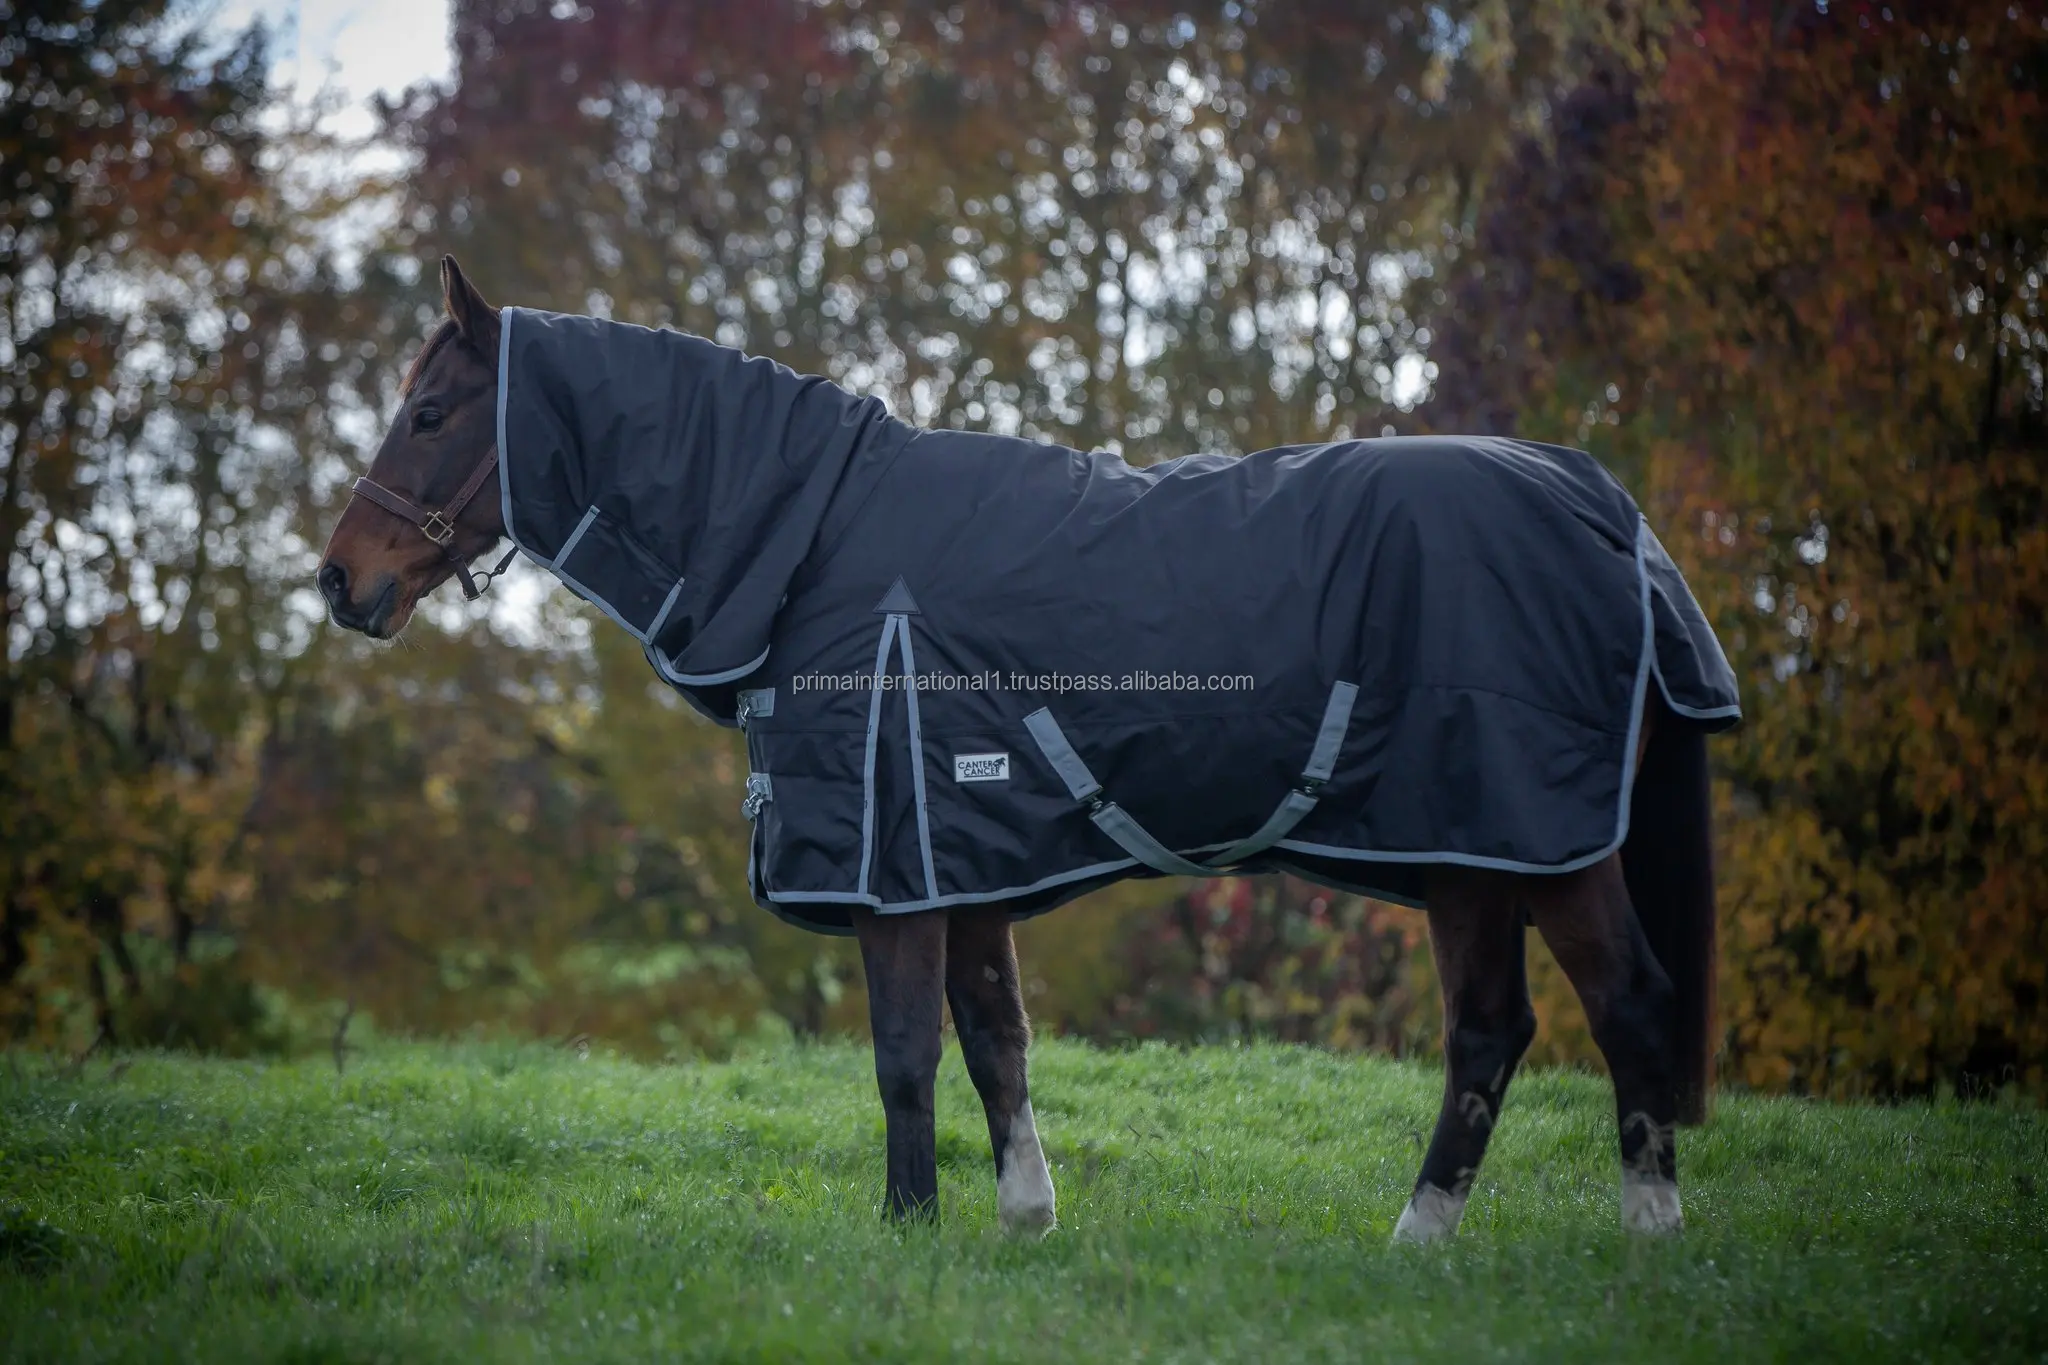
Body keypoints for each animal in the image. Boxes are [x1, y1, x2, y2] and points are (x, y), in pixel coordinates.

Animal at [318, 255, 1734, 1243]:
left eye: (432, 412)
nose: (339, 583)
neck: (817, 542)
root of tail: (1603, 505)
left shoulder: (894, 860)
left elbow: (903, 1055)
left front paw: (906, 1231)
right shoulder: (964, 858)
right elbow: (995, 1040)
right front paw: (1020, 1221)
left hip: (1538, 842)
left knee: (1624, 1003)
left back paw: (1647, 1232)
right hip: (1465, 852)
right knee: (1490, 1033)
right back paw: (1417, 1236)